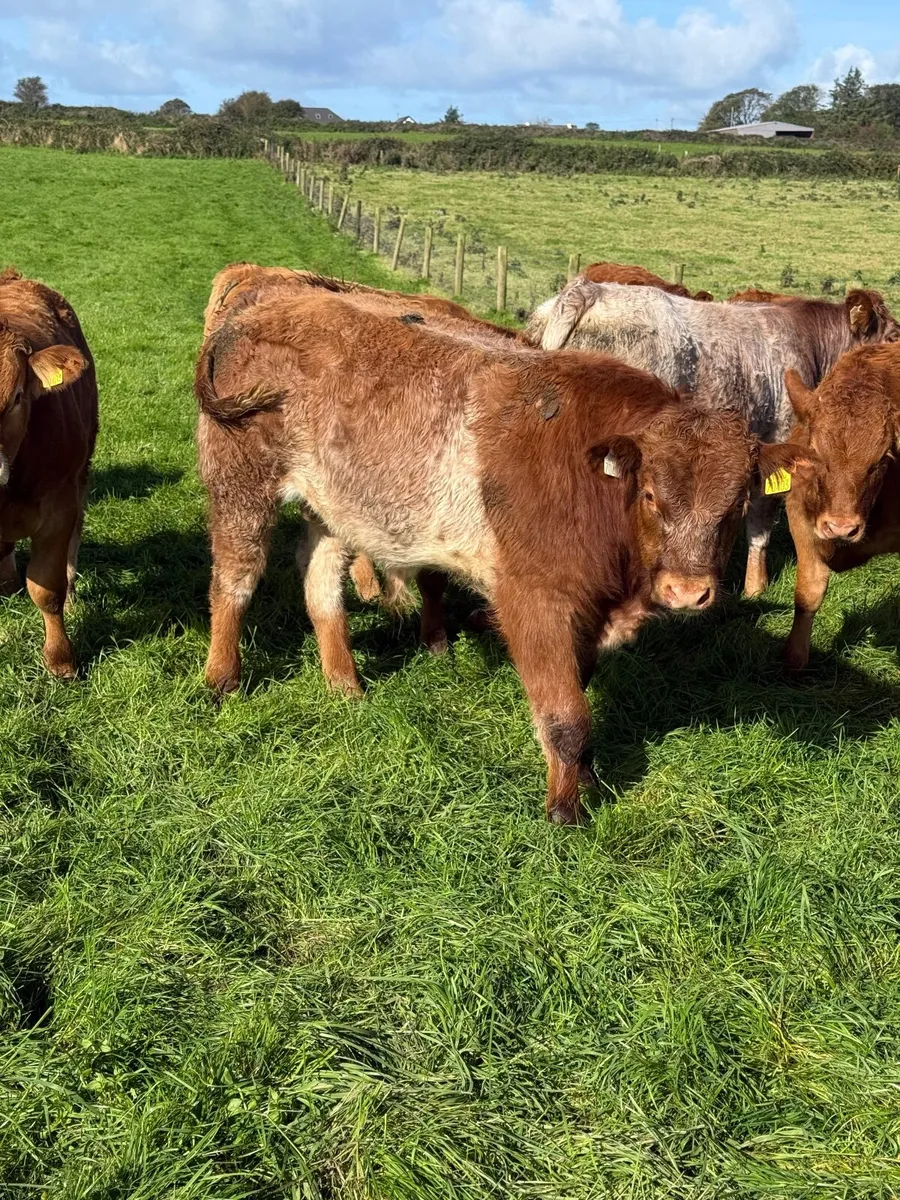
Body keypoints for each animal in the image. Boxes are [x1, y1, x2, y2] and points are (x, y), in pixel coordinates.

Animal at [195, 288, 812, 824]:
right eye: (651, 495)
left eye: (736, 503)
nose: (686, 591)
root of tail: (260, 305)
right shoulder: (532, 600)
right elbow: (567, 717)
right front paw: (565, 812)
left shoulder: (587, 616)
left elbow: (578, 696)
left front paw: (585, 779)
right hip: (240, 482)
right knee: (235, 580)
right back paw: (222, 679)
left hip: (331, 508)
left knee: (320, 583)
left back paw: (345, 685)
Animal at [781, 343, 900, 672]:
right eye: (815, 452)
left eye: (881, 460)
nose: (841, 527)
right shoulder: (800, 517)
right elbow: (808, 593)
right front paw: (794, 662)